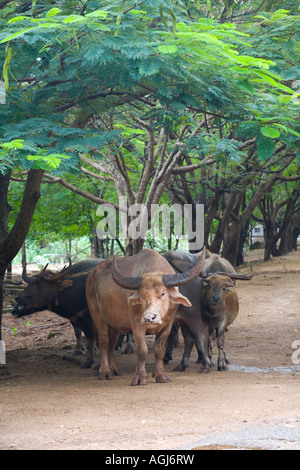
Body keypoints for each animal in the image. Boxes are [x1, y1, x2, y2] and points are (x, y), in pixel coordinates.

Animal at [85, 248, 205, 384]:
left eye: (163, 293)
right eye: (141, 295)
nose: (149, 318)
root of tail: (91, 276)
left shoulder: (168, 325)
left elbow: (159, 350)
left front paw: (161, 375)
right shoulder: (137, 324)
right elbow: (142, 351)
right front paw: (140, 377)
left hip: (115, 323)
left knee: (111, 343)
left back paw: (114, 369)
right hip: (97, 315)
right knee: (104, 342)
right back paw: (105, 371)